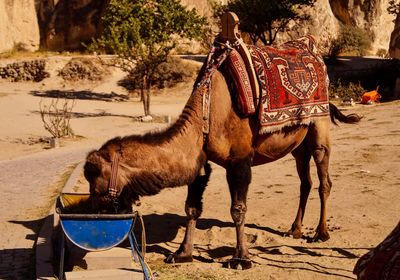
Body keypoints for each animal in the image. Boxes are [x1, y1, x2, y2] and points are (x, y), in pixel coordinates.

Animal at [83, 41, 360, 270]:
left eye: (95, 182)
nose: (93, 211)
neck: (206, 113)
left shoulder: (239, 161)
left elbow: (238, 209)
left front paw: (240, 259)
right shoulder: (201, 161)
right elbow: (191, 207)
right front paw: (182, 253)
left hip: (319, 126)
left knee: (324, 178)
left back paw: (320, 233)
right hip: (297, 145)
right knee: (305, 181)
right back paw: (295, 229)